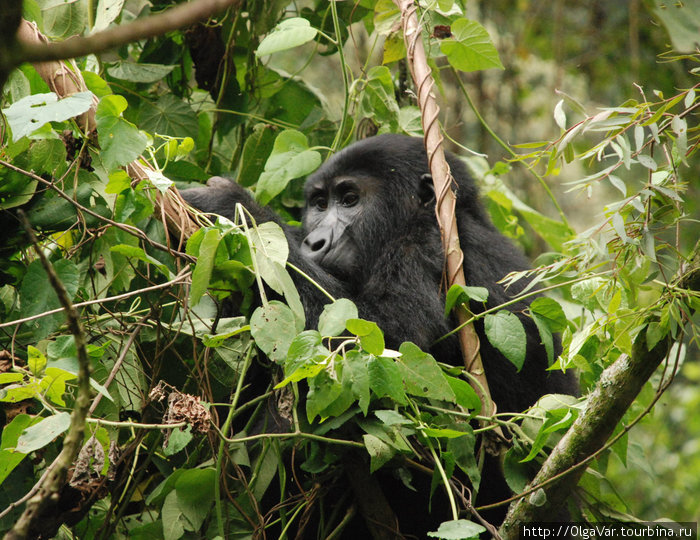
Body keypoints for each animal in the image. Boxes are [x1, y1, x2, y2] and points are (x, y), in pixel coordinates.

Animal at [179, 133, 576, 528]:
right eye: (319, 204)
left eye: (350, 199)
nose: (313, 242)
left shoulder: (424, 248)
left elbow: (381, 346)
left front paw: (230, 206)